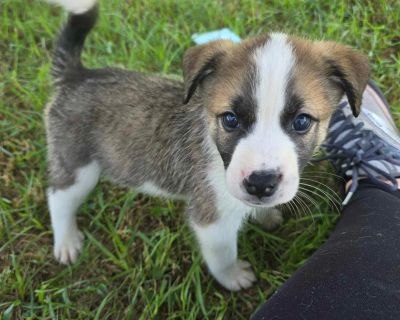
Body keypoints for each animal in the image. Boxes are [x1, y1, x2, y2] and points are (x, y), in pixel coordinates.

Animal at [46, 0, 368, 290]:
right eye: (230, 119)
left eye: (302, 121)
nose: (260, 184)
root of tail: (77, 75)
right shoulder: (212, 220)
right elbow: (222, 256)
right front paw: (233, 277)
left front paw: (266, 215)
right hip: (76, 165)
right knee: (58, 198)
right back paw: (66, 241)